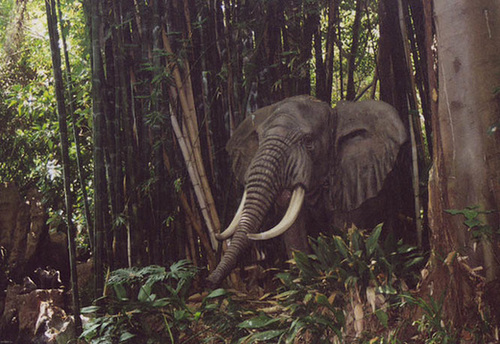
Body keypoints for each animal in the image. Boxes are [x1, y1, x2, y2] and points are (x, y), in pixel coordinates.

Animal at [205, 94, 408, 288]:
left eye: (309, 142)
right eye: (260, 139)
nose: (210, 282)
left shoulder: (350, 178)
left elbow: (343, 231)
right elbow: (294, 231)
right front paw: (302, 283)